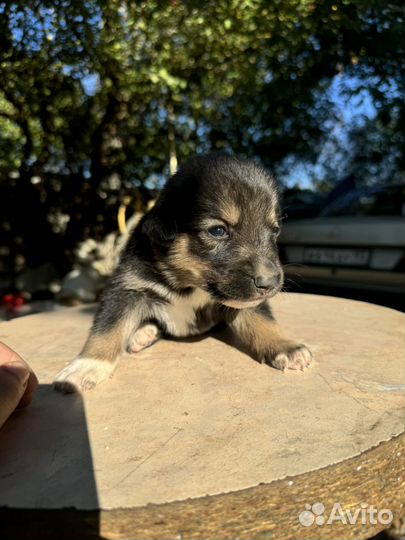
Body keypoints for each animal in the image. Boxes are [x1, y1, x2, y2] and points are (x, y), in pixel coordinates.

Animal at [54, 153, 312, 392]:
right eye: (218, 231)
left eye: (275, 230)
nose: (269, 283)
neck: (188, 283)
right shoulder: (127, 287)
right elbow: (108, 329)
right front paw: (87, 365)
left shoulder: (244, 301)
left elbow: (262, 321)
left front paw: (285, 346)